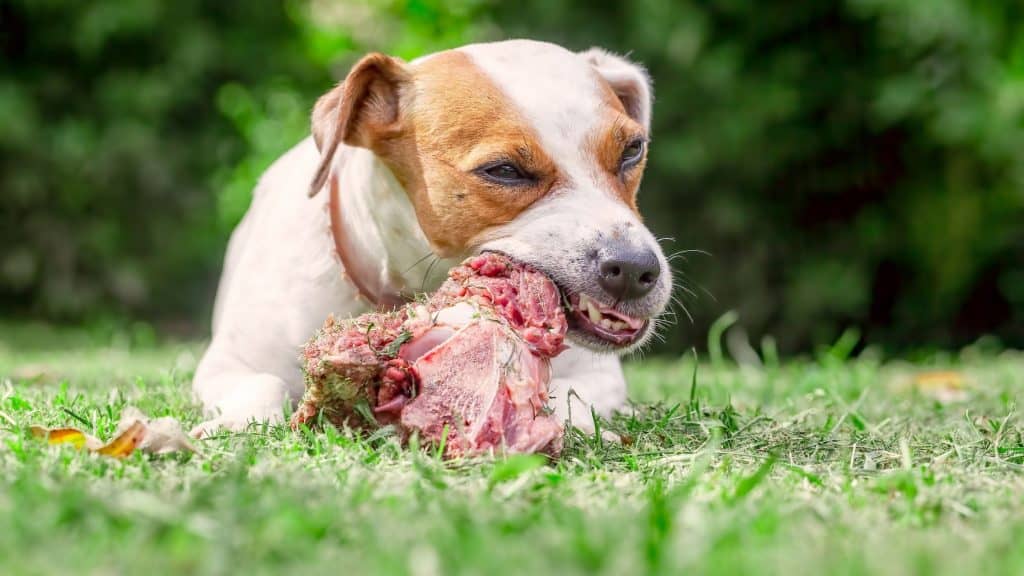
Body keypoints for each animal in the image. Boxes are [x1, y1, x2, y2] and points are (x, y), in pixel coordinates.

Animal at [191, 39, 671, 434]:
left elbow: (569, 398)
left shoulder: (598, 376)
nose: (634, 268)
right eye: (504, 170)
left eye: (633, 150)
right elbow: (263, 384)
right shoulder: (228, 365)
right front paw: (237, 423)